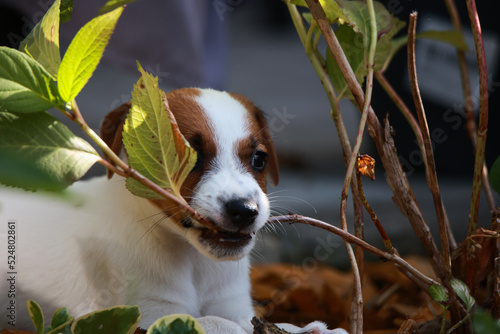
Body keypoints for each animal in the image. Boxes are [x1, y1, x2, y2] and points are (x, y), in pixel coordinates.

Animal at [0, 87, 346, 332]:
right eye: (190, 158)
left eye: (259, 160)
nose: (245, 210)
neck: (195, 262)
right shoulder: (146, 315)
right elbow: (217, 324)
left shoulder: (234, 305)